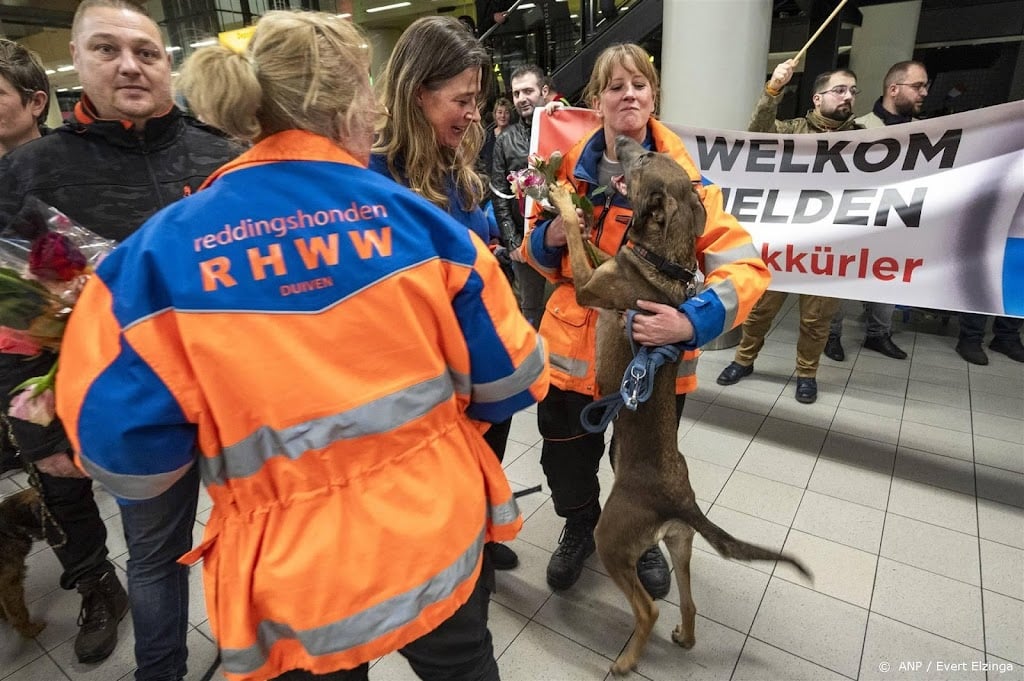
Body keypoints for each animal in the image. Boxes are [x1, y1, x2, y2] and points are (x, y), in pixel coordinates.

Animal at [557, 135, 811, 671]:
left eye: (645, 159)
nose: (627, 139)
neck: (663, 260)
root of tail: (679, 500)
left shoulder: (590, 286)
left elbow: (575, 236)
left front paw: (560, 198)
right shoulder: (605, 267)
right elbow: (595, 243)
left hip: (612, 539)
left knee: (648, 609)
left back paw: (626, 661)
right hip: (681, 543)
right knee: (689, 602)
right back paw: (685, 638)